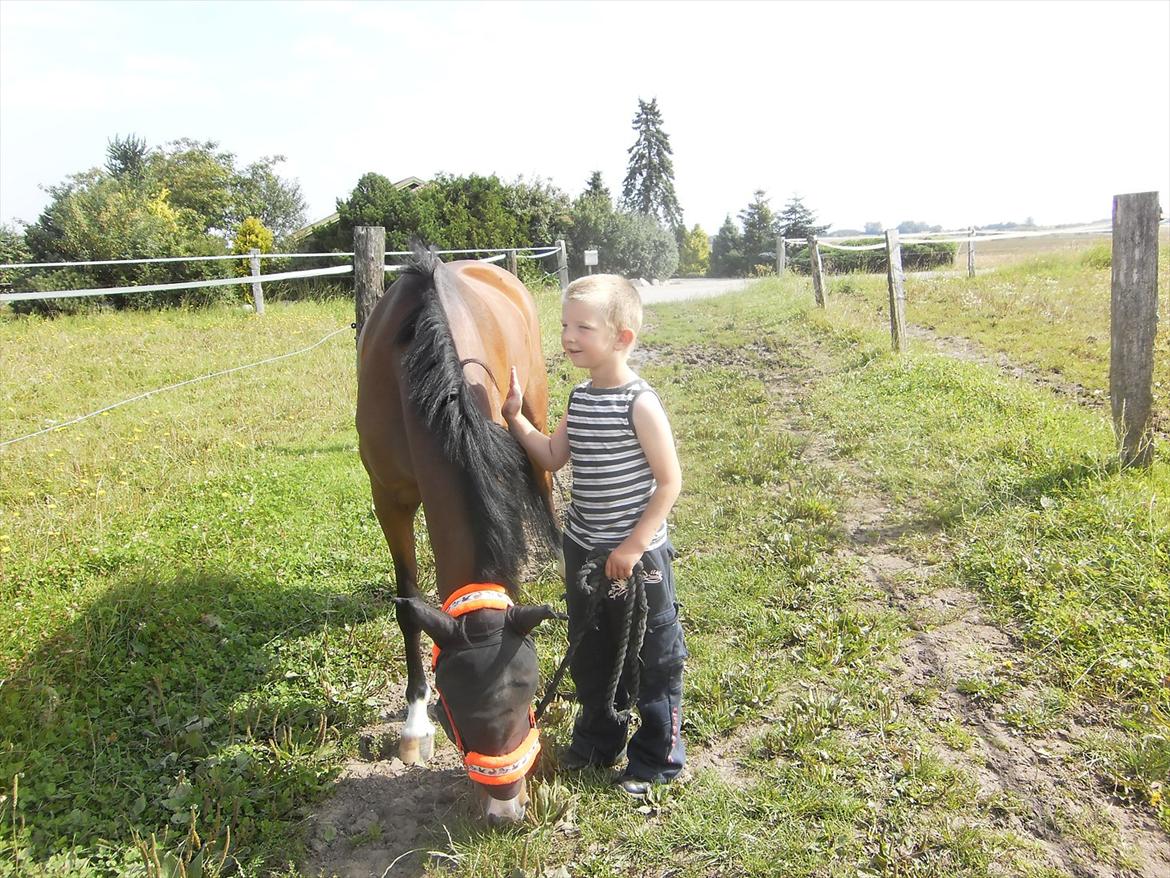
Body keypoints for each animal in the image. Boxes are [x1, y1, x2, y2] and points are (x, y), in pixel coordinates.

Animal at [355, 245, 560, 823]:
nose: (506, 811)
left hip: (534, 408)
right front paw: (414, 725)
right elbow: (408, 605)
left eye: (530, 696)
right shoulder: (390, 498)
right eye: (455, 710)